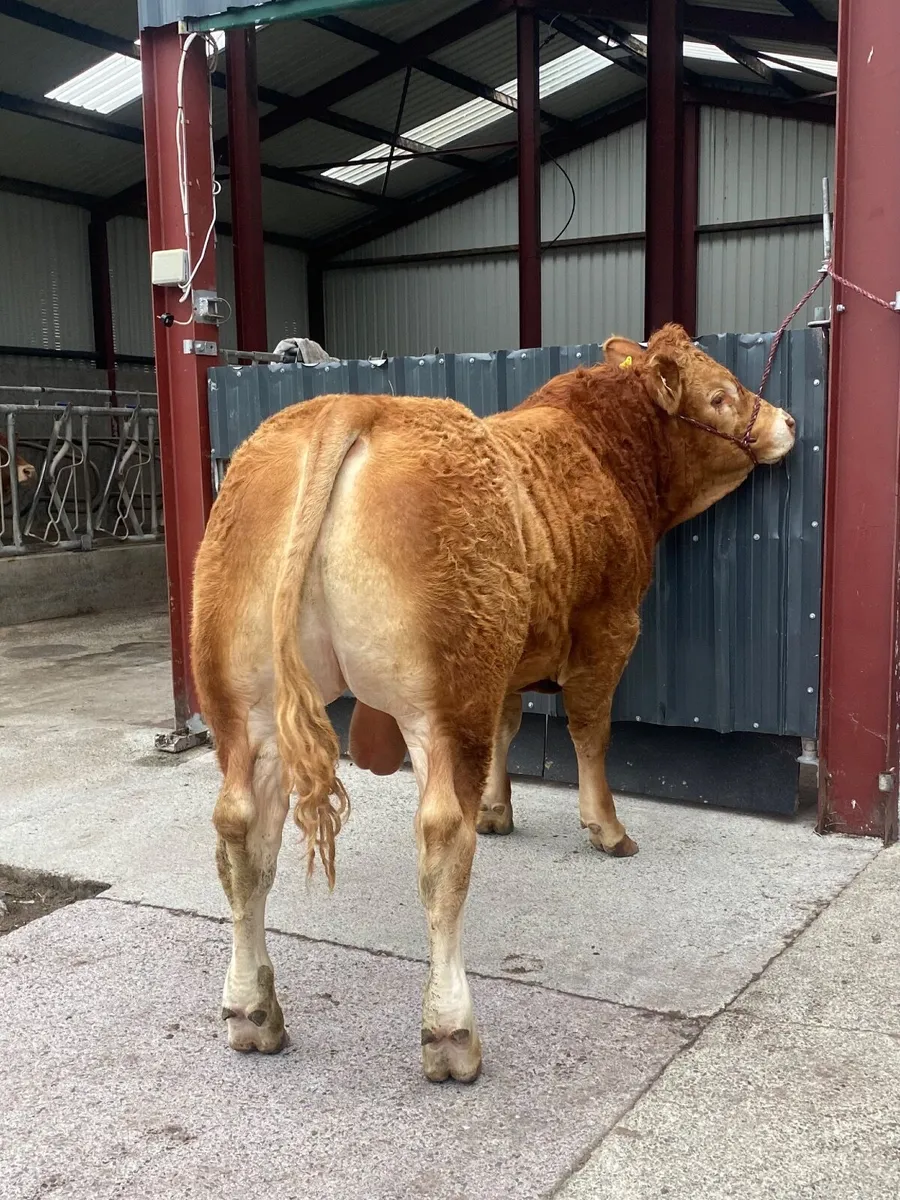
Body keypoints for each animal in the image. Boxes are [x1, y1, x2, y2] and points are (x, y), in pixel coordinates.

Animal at [191, 323, 795, 1081]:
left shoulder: (512, 656)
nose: (787, 421)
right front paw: (606, 827)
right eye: (719, 395)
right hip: (447, 698)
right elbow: (590, 731)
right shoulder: (608, 628)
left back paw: (253, 1012)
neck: (597, 447)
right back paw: (451, 1033)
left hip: (245, 705)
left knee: (241, 835)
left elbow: (513, 725)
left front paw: (499, 807)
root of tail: (353, 406)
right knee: (442, 843)